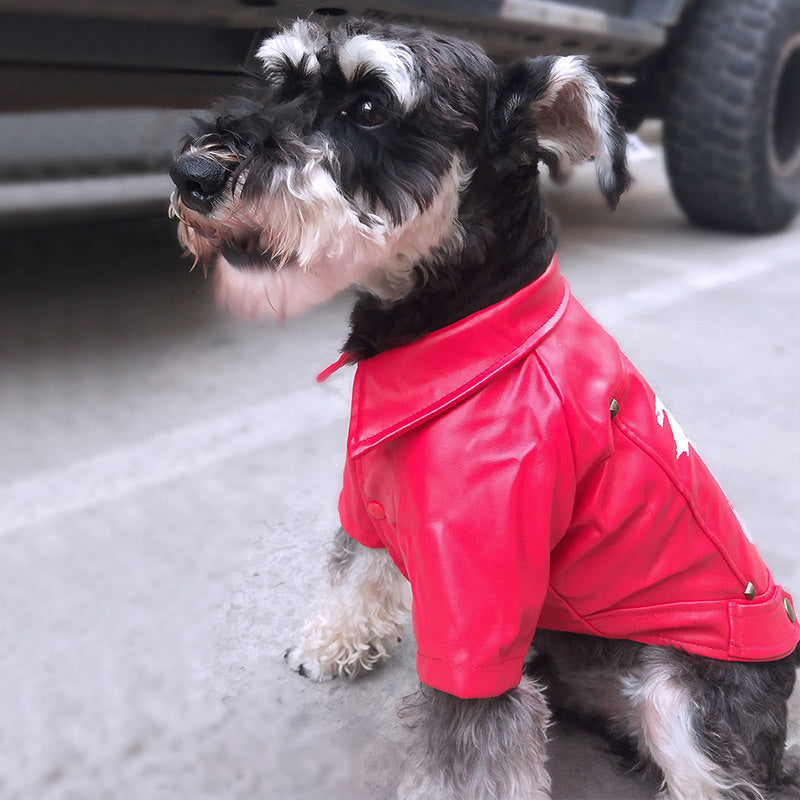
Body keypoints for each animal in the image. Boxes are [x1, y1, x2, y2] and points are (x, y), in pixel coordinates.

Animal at [170, 18, 800, 800]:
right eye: (280, 81)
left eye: (370, 108)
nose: (191, 175)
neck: (457, 326)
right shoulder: (369, 494)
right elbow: (356, 567)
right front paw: (335, 641)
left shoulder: (481, 601)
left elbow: (468, 748)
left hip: (684, 704)